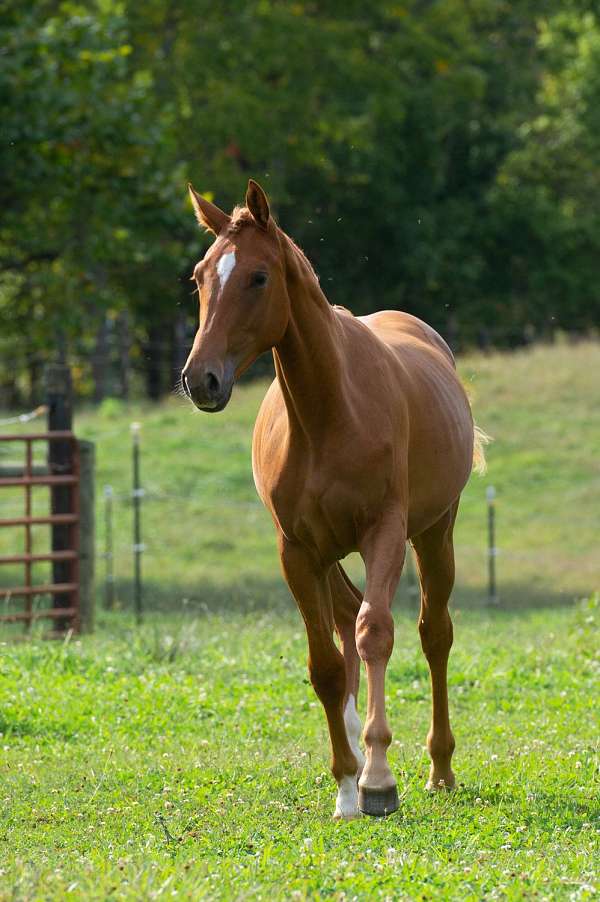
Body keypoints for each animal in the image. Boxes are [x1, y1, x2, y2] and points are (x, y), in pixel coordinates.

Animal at [180, 180, 486, 824]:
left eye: (259, 277)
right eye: (199, 276)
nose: (201, 380)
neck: (329, 413)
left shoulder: (384, 532)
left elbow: (377, 633)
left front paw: (378, 779)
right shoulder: (296, 550)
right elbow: (324, 664)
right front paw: (347, 782)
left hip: (434, 533)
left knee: (433, 633)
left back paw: (439, 769)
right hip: (328, 554)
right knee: (347, 620)